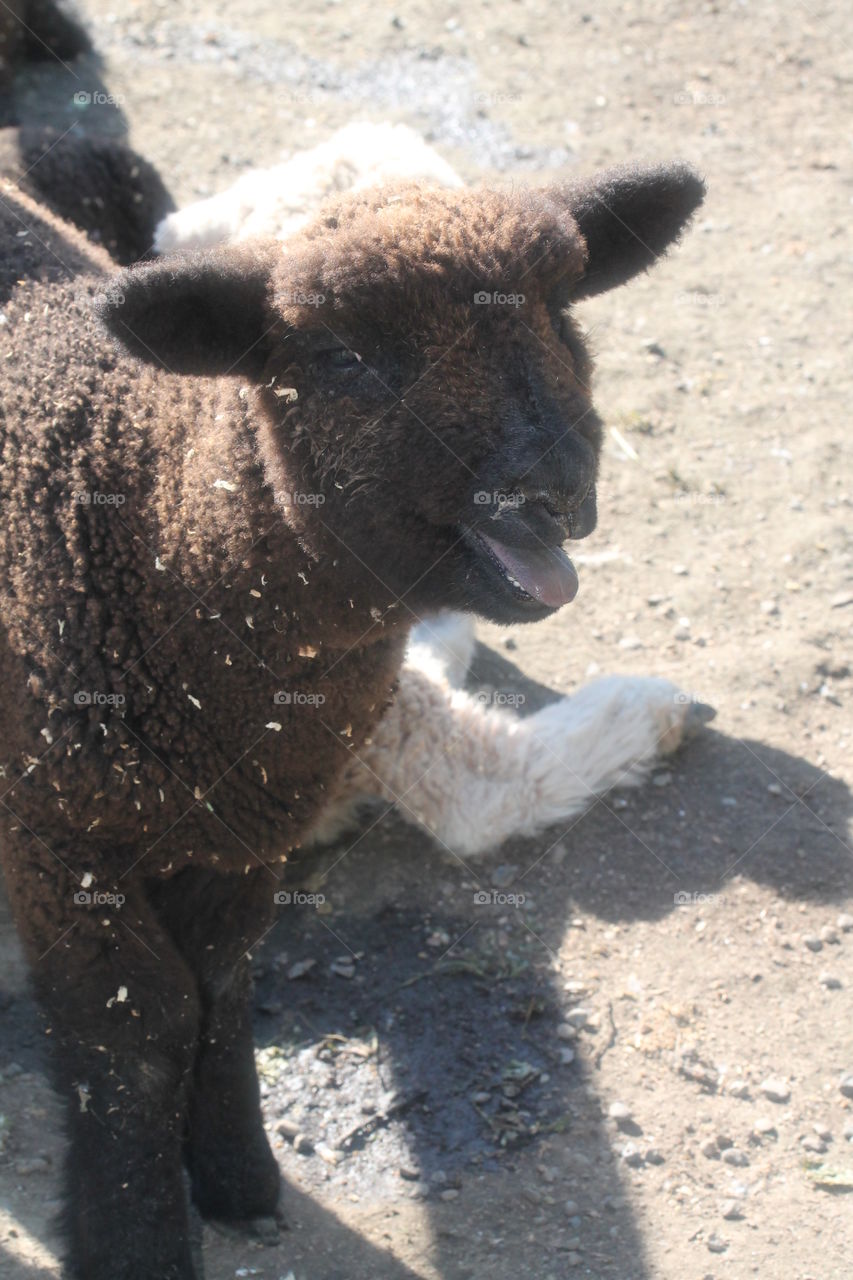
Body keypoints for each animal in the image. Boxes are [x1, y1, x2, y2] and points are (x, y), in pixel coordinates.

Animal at [0, 163, 704, 1279]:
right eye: (343, 357)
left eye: (560, 310)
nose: (550, 489)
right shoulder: (58, 831)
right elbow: (139, 1028)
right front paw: (136, 1236)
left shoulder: (243, 832)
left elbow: (220, 984)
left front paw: (238, 1178)